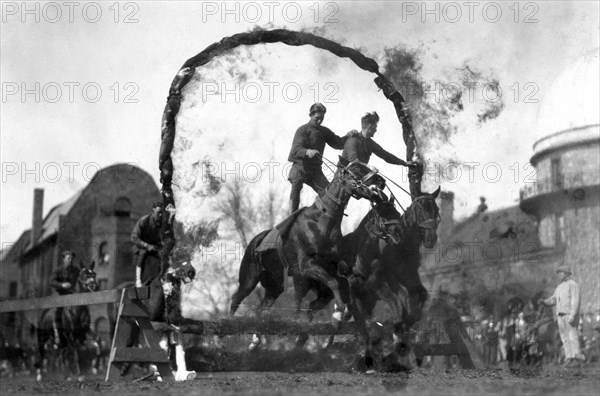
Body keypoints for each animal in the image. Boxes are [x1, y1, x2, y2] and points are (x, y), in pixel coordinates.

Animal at [342, 187, 440, 370]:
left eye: (436, 210)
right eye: (420, 210)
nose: (431, 239)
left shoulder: (408, 277)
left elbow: (418, 297)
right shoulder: (382, 282)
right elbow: (399, 305)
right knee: (364, 325)